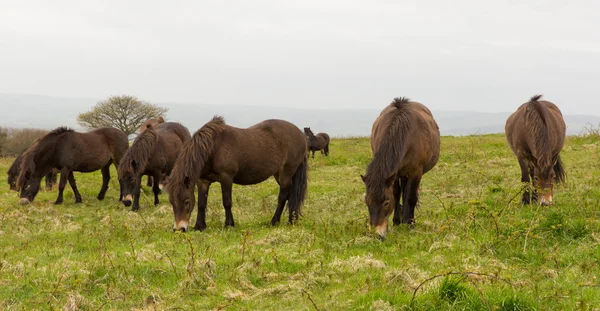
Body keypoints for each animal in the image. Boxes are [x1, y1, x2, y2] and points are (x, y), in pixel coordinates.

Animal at [169, 116, 310, 232]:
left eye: (186, 201)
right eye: (171, 202)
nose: (179, 229)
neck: (213, 147)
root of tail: (300, 135)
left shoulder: (226, 177)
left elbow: (227, 201)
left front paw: (229, 224)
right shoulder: (203, 181)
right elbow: (201, 204)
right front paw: (199, 226)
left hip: (287, 172)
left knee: (283, 196)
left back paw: (275, 221)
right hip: (278, 174)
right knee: (291, 195)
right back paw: (292, 219)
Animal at [360, 98, 440, 240]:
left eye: (386, 203)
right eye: (367, 201)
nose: (377, 234)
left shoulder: (416, 173)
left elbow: (411, 198)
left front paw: (409, 224)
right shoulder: (395, 174)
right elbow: (397, 195)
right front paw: (397, 222)